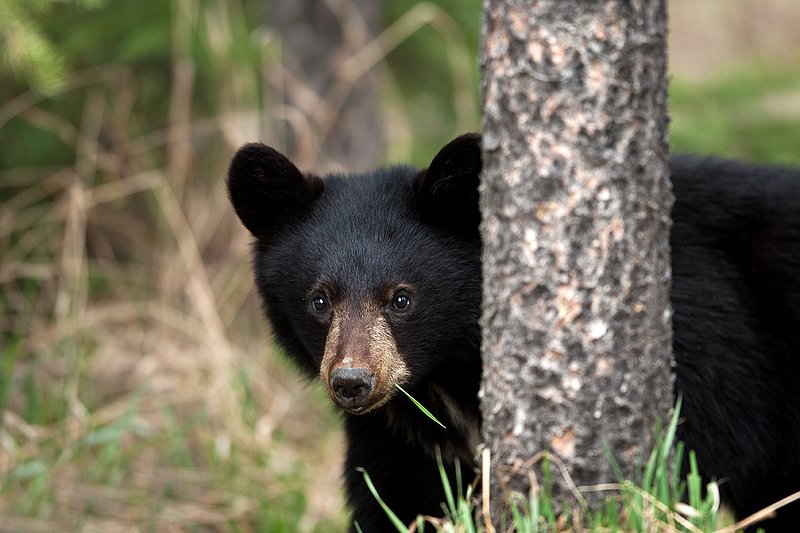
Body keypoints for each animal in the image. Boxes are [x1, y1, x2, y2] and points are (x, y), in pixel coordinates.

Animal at [227, 134, 800, 531]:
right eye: (319, 300)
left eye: (402, 298)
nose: (352, 382)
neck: (448, 377)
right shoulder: (397, 438)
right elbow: (392, 500)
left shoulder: (711, 362)